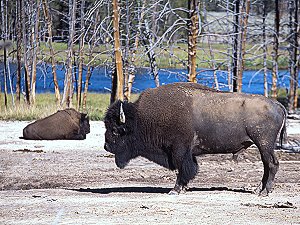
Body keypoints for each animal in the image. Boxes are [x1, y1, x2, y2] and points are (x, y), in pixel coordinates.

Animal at [104, 82, 288, 195]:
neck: (141, 118)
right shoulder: (185, 153)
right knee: (267, 165)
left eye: (115, 130)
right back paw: (258, 190)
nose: (106, 146)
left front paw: (175, 190)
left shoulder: (178, 150)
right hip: (263, 146)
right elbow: (188, 169)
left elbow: (183, 168)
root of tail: (277, 104)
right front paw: (183, 188)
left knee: (272, 164)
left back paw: (264, 192)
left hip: (264, 144)